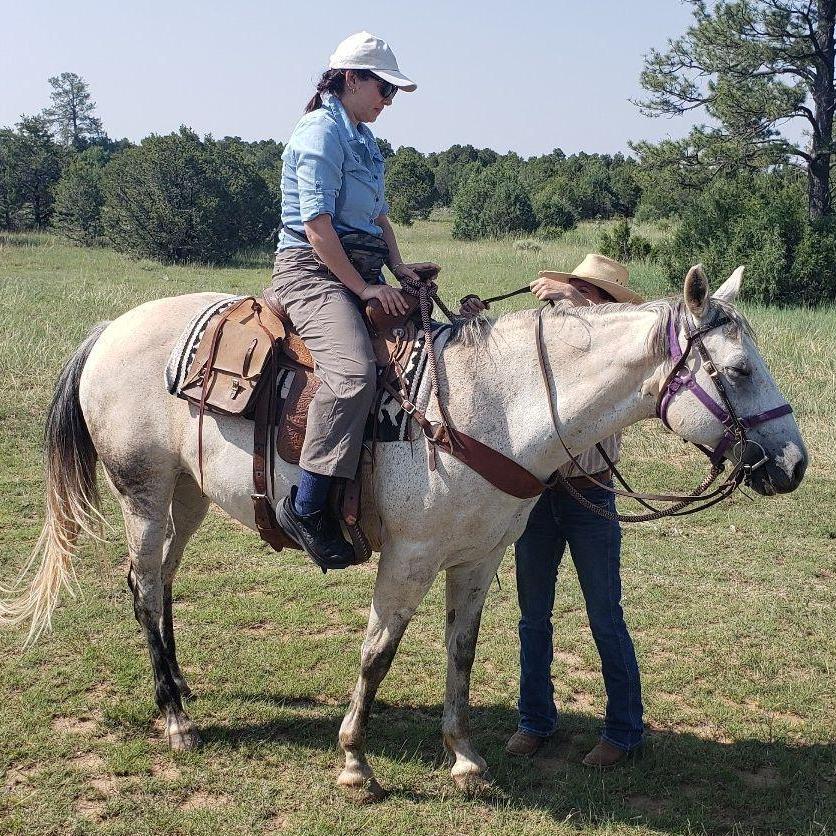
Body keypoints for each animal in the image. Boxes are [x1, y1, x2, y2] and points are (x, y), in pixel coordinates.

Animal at [1, 264, 807, 797]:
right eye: (739, 369)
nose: (795, 464)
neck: (496, 405)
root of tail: (112, 329)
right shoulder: (408, 559)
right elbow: (377, 656)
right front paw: (356, 763)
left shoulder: (479, 559)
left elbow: (462, 653)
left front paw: (465, 759)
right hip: (142, 491)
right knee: (141, 586)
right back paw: (174, 720)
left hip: (188, 494)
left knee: (163, 581)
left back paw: (181, 690)